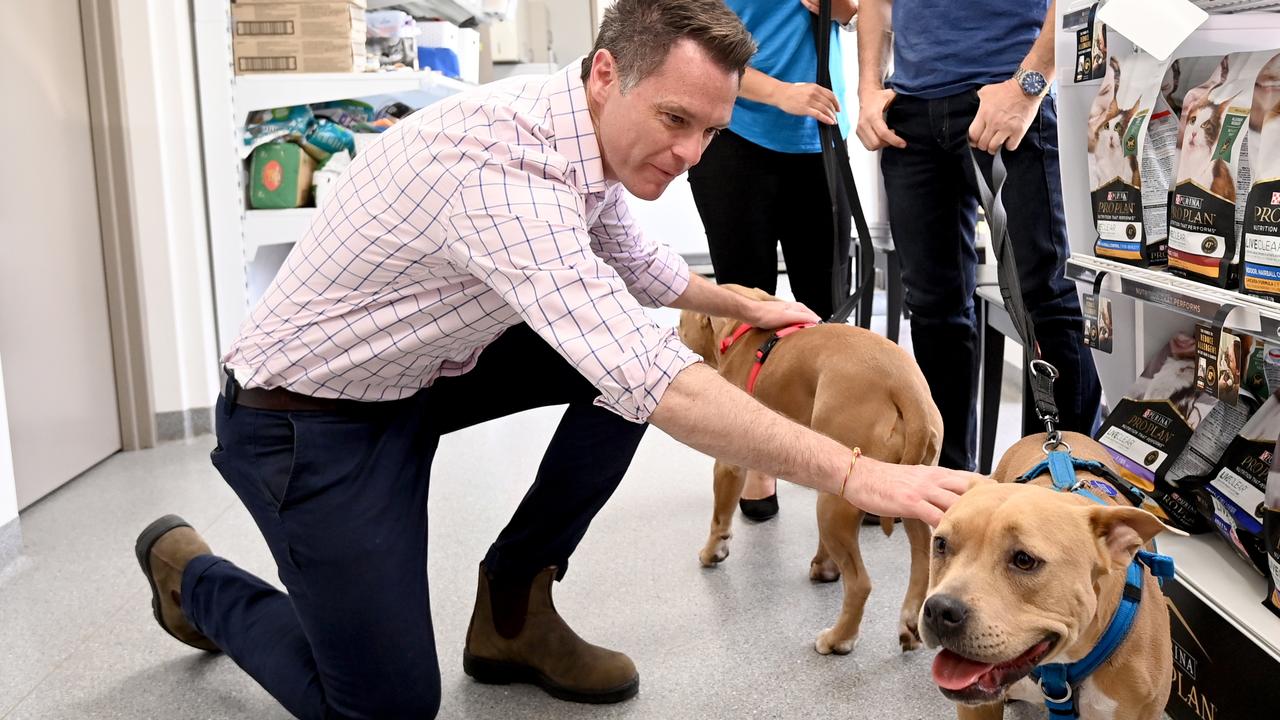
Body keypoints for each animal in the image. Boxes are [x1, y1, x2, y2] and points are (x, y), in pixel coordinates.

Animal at [680, 283, 942, 653]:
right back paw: (909, 623)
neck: (744, 333)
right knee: (921, 558)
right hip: (907, 491)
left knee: (860, 584)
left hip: (837, 499)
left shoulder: (730, 464)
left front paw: (712, 551)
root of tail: (906, 388)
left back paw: (838, 639)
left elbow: (720, 517)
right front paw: (824, 567)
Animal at [921, 430, 1177, 717]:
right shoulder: (977, 708)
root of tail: (1050, 433)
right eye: (940, 544)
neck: (1060, 665)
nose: (940, 610)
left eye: (1024, 560)